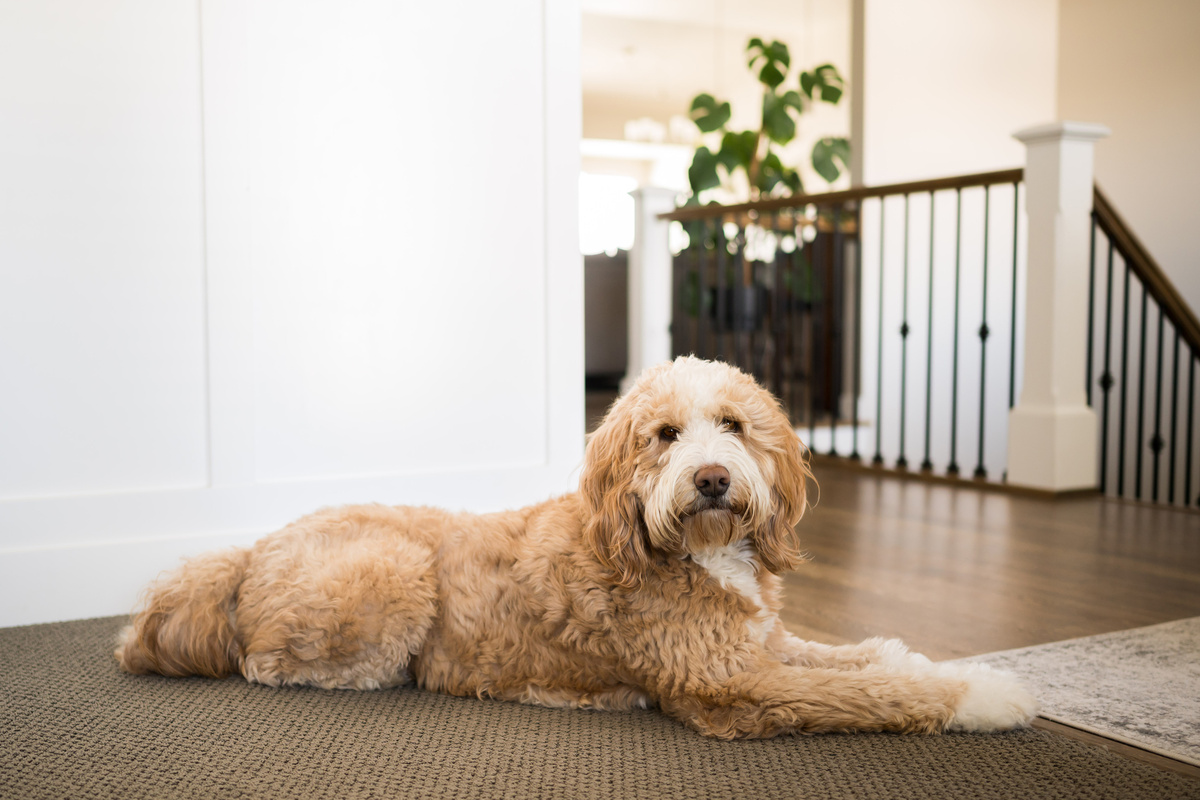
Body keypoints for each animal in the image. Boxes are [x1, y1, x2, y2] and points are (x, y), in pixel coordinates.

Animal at [117, 357, 1036, 738]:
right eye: (664, 436)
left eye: (733, 425)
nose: (711, 479)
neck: (689, 549)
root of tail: (247, 552)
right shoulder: (732, 687)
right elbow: (874, 694)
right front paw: (986, 702)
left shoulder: (760, 644)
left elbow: (865, 656)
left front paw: (955, 666)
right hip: (395, 574)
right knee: (268, 663)